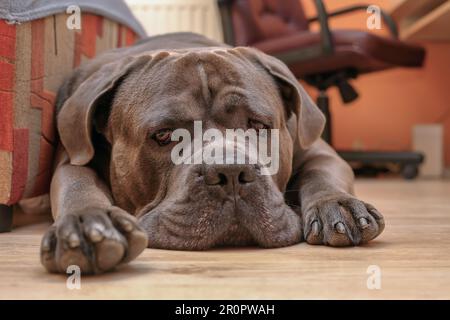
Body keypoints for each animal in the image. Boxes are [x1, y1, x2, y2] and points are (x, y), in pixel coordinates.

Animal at [40, 32, 384, 274]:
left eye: (258, 125)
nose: (230, 172)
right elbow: (77, 182)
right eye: (163, 135)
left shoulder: (316, 149)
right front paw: (88, 222)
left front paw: (337, 205)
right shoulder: (74, 158)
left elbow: (321, 171)